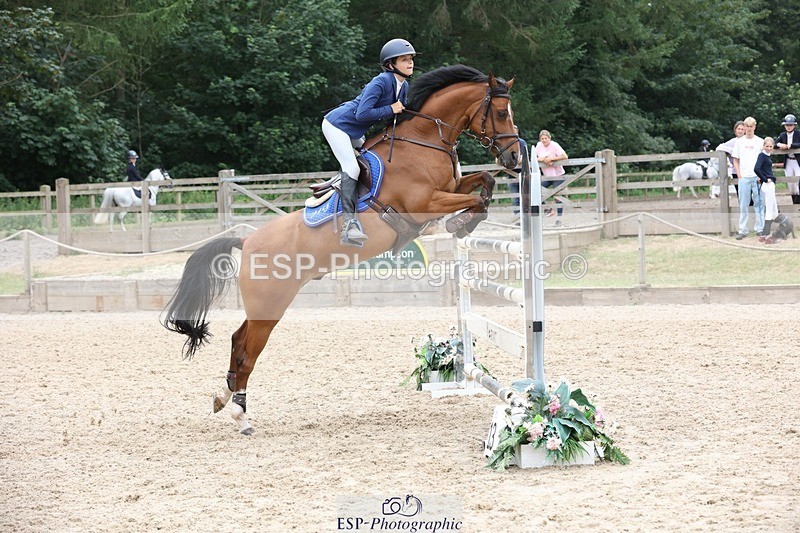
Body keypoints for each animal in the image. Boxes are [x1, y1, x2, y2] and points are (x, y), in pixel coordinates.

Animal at [161, 65, 520, 435]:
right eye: (499, 112)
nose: (514, 157)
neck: (424, 140)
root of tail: (246, 242)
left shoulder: (451, 187)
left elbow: (485, 182)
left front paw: (465, 222)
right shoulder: (426, 202)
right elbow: (478, 199)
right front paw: (460, 224)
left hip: (267, 304)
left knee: (237, 340)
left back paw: (223, 397)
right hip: (269, 305)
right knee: (247, 352)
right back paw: (240, 415)